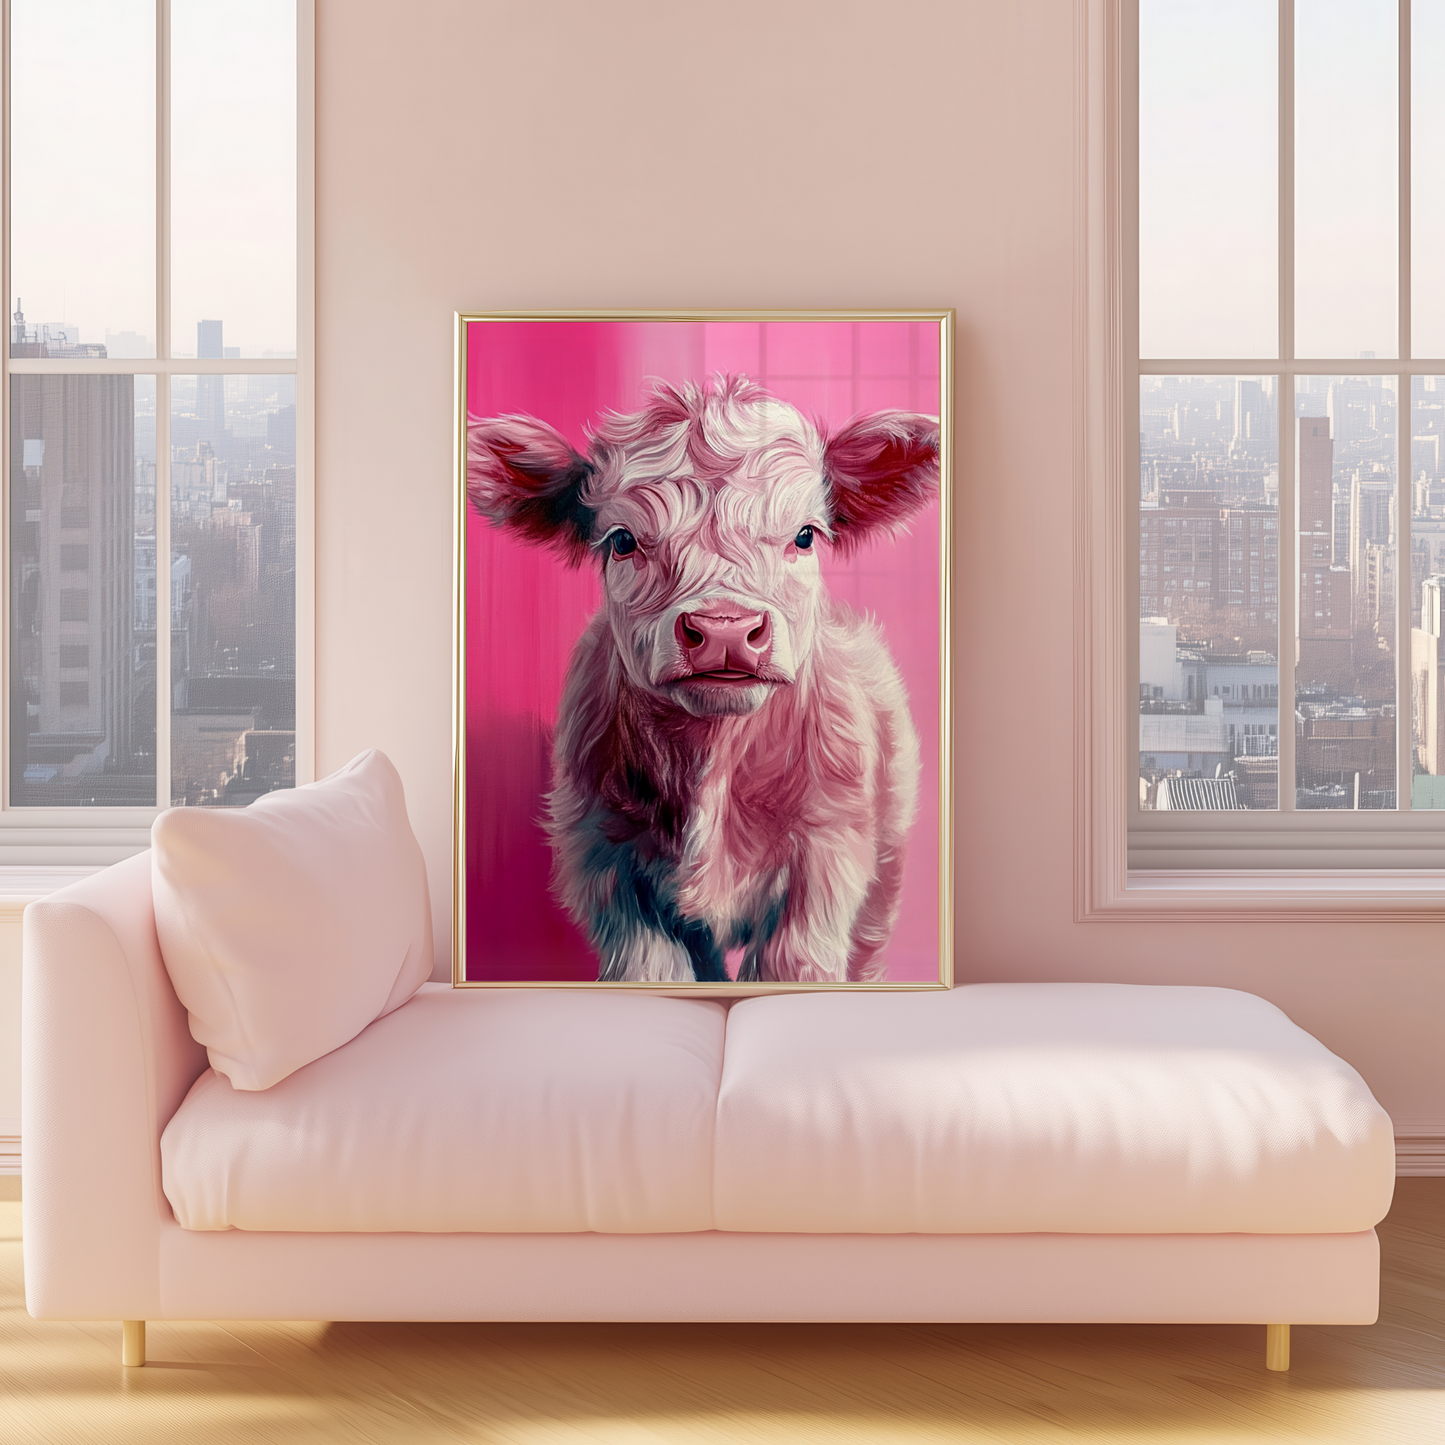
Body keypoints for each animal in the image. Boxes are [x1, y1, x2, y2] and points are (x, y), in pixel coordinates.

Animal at [467, 374, 939, 984]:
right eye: (622, 540)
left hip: (883, 866)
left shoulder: (828, 858)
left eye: (805, 535)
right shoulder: (604, 864)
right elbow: (651, 971)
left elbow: (792, 966)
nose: (725, 630)